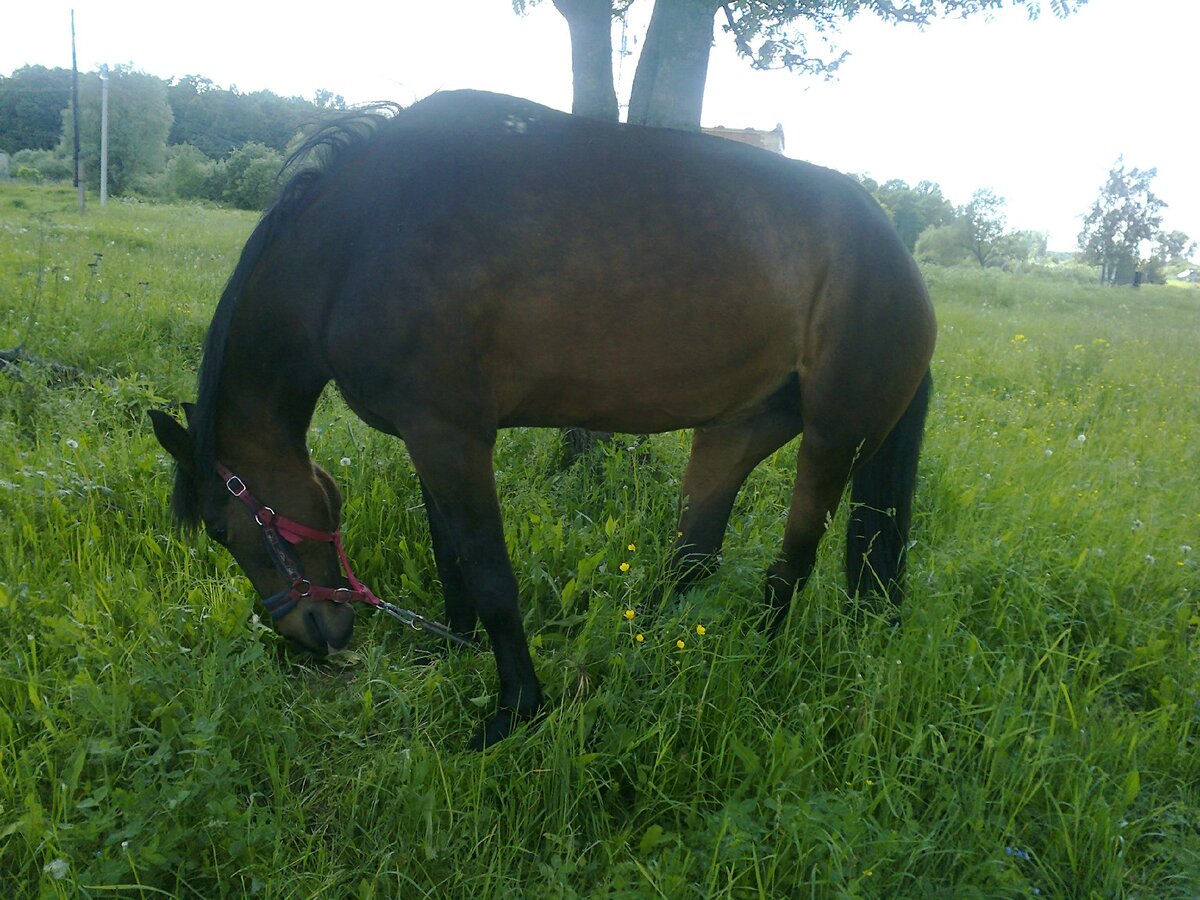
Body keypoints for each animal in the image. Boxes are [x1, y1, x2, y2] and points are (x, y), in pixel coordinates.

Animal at [150, 91, 936, 748]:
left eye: (221, 528)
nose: (313, 633)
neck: (358, 246)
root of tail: (899, 261)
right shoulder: (426, 437)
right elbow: (451, 557)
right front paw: (452, 648)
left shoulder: (453, 437)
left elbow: (493, 576)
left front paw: (516, 709)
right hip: (735, 431)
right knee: (693, 557)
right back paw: (650, 655)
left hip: (835, 440)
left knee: (793, 560)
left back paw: (760, 656)